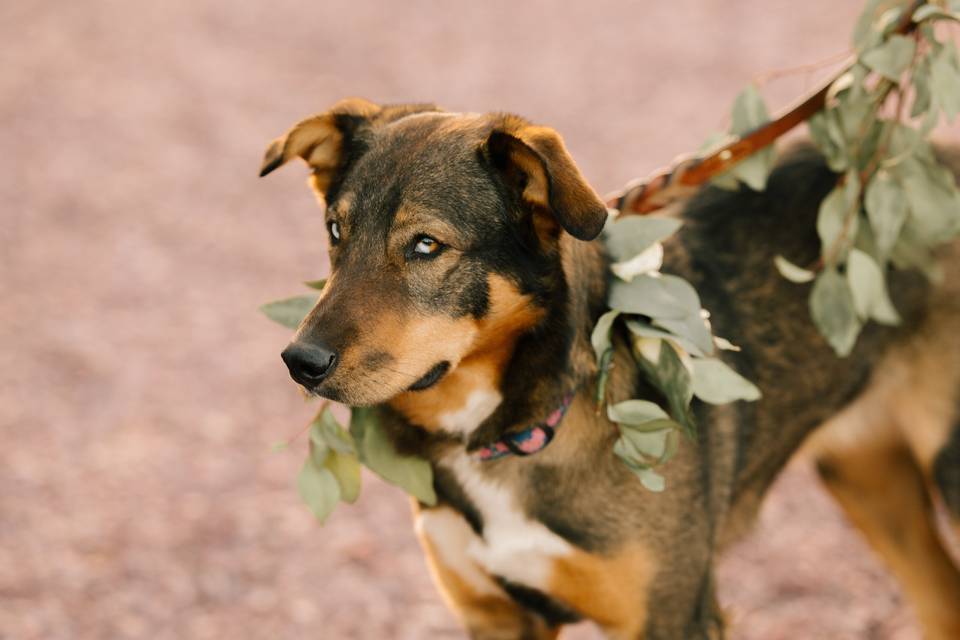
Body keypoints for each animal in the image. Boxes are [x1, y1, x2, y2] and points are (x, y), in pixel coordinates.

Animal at [258, 97, 960, 636]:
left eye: (427, 245)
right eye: (335, 231)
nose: (300, 362)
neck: (510, 430)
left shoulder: (670, 617)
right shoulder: (496, 615)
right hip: (867, 479)